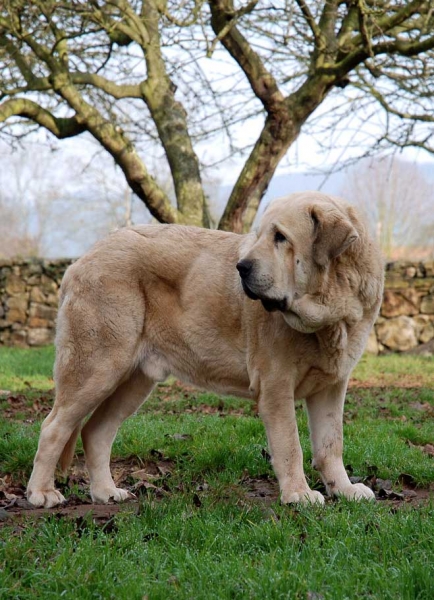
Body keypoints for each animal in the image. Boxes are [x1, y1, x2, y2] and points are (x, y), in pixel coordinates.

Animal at [26, 191, 384, 506]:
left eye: (280, 237)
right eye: (260, 236)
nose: (242, 267)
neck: (331, 314)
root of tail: (81, 260)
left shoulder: (332, 387)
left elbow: (331, 444)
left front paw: (344, 489)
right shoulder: (276, 386)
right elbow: (290, 446)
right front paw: (299, 493)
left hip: (133, 381)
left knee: (95, 432)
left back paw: (105, 492)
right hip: (97, 368)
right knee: (53, 428)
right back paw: (41, 493)